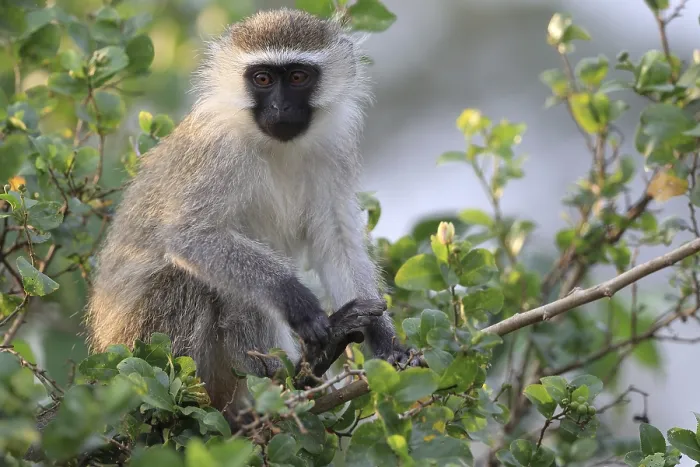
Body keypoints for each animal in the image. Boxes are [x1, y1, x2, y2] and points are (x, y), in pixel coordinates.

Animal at [83, 8, 418, 423]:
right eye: (262, 79)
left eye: (297, 77)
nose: (280, 108)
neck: (275, 145)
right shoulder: (218, 150)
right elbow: (188, 236)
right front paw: (297, 300)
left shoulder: (334, 147)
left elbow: (336, 242)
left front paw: (386, 341)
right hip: (147, 345)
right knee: (201, 280)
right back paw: (290, 376)